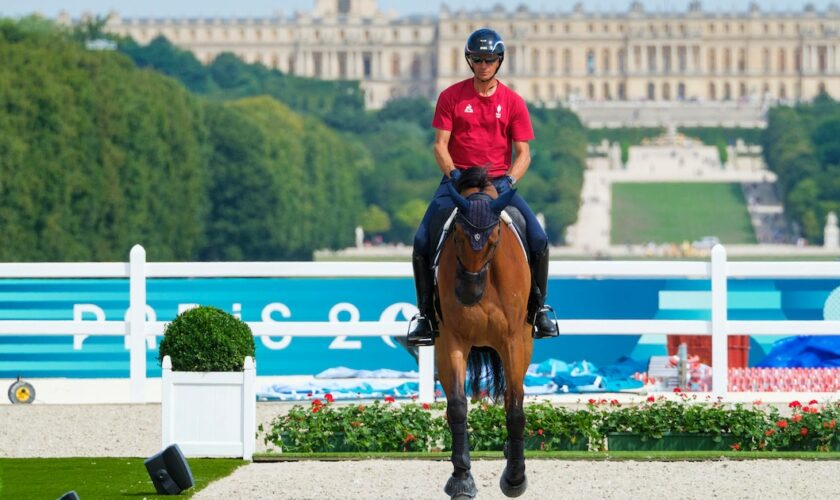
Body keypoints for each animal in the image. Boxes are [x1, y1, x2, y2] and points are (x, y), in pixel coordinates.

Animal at [434, 167, 532, 496]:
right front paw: (461, 478)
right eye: (457, 236)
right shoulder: (452, 340)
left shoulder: (513, 342)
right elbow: (457, 406)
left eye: (493, 239)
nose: (467, 293)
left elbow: (515, 408)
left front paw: (515, 478)